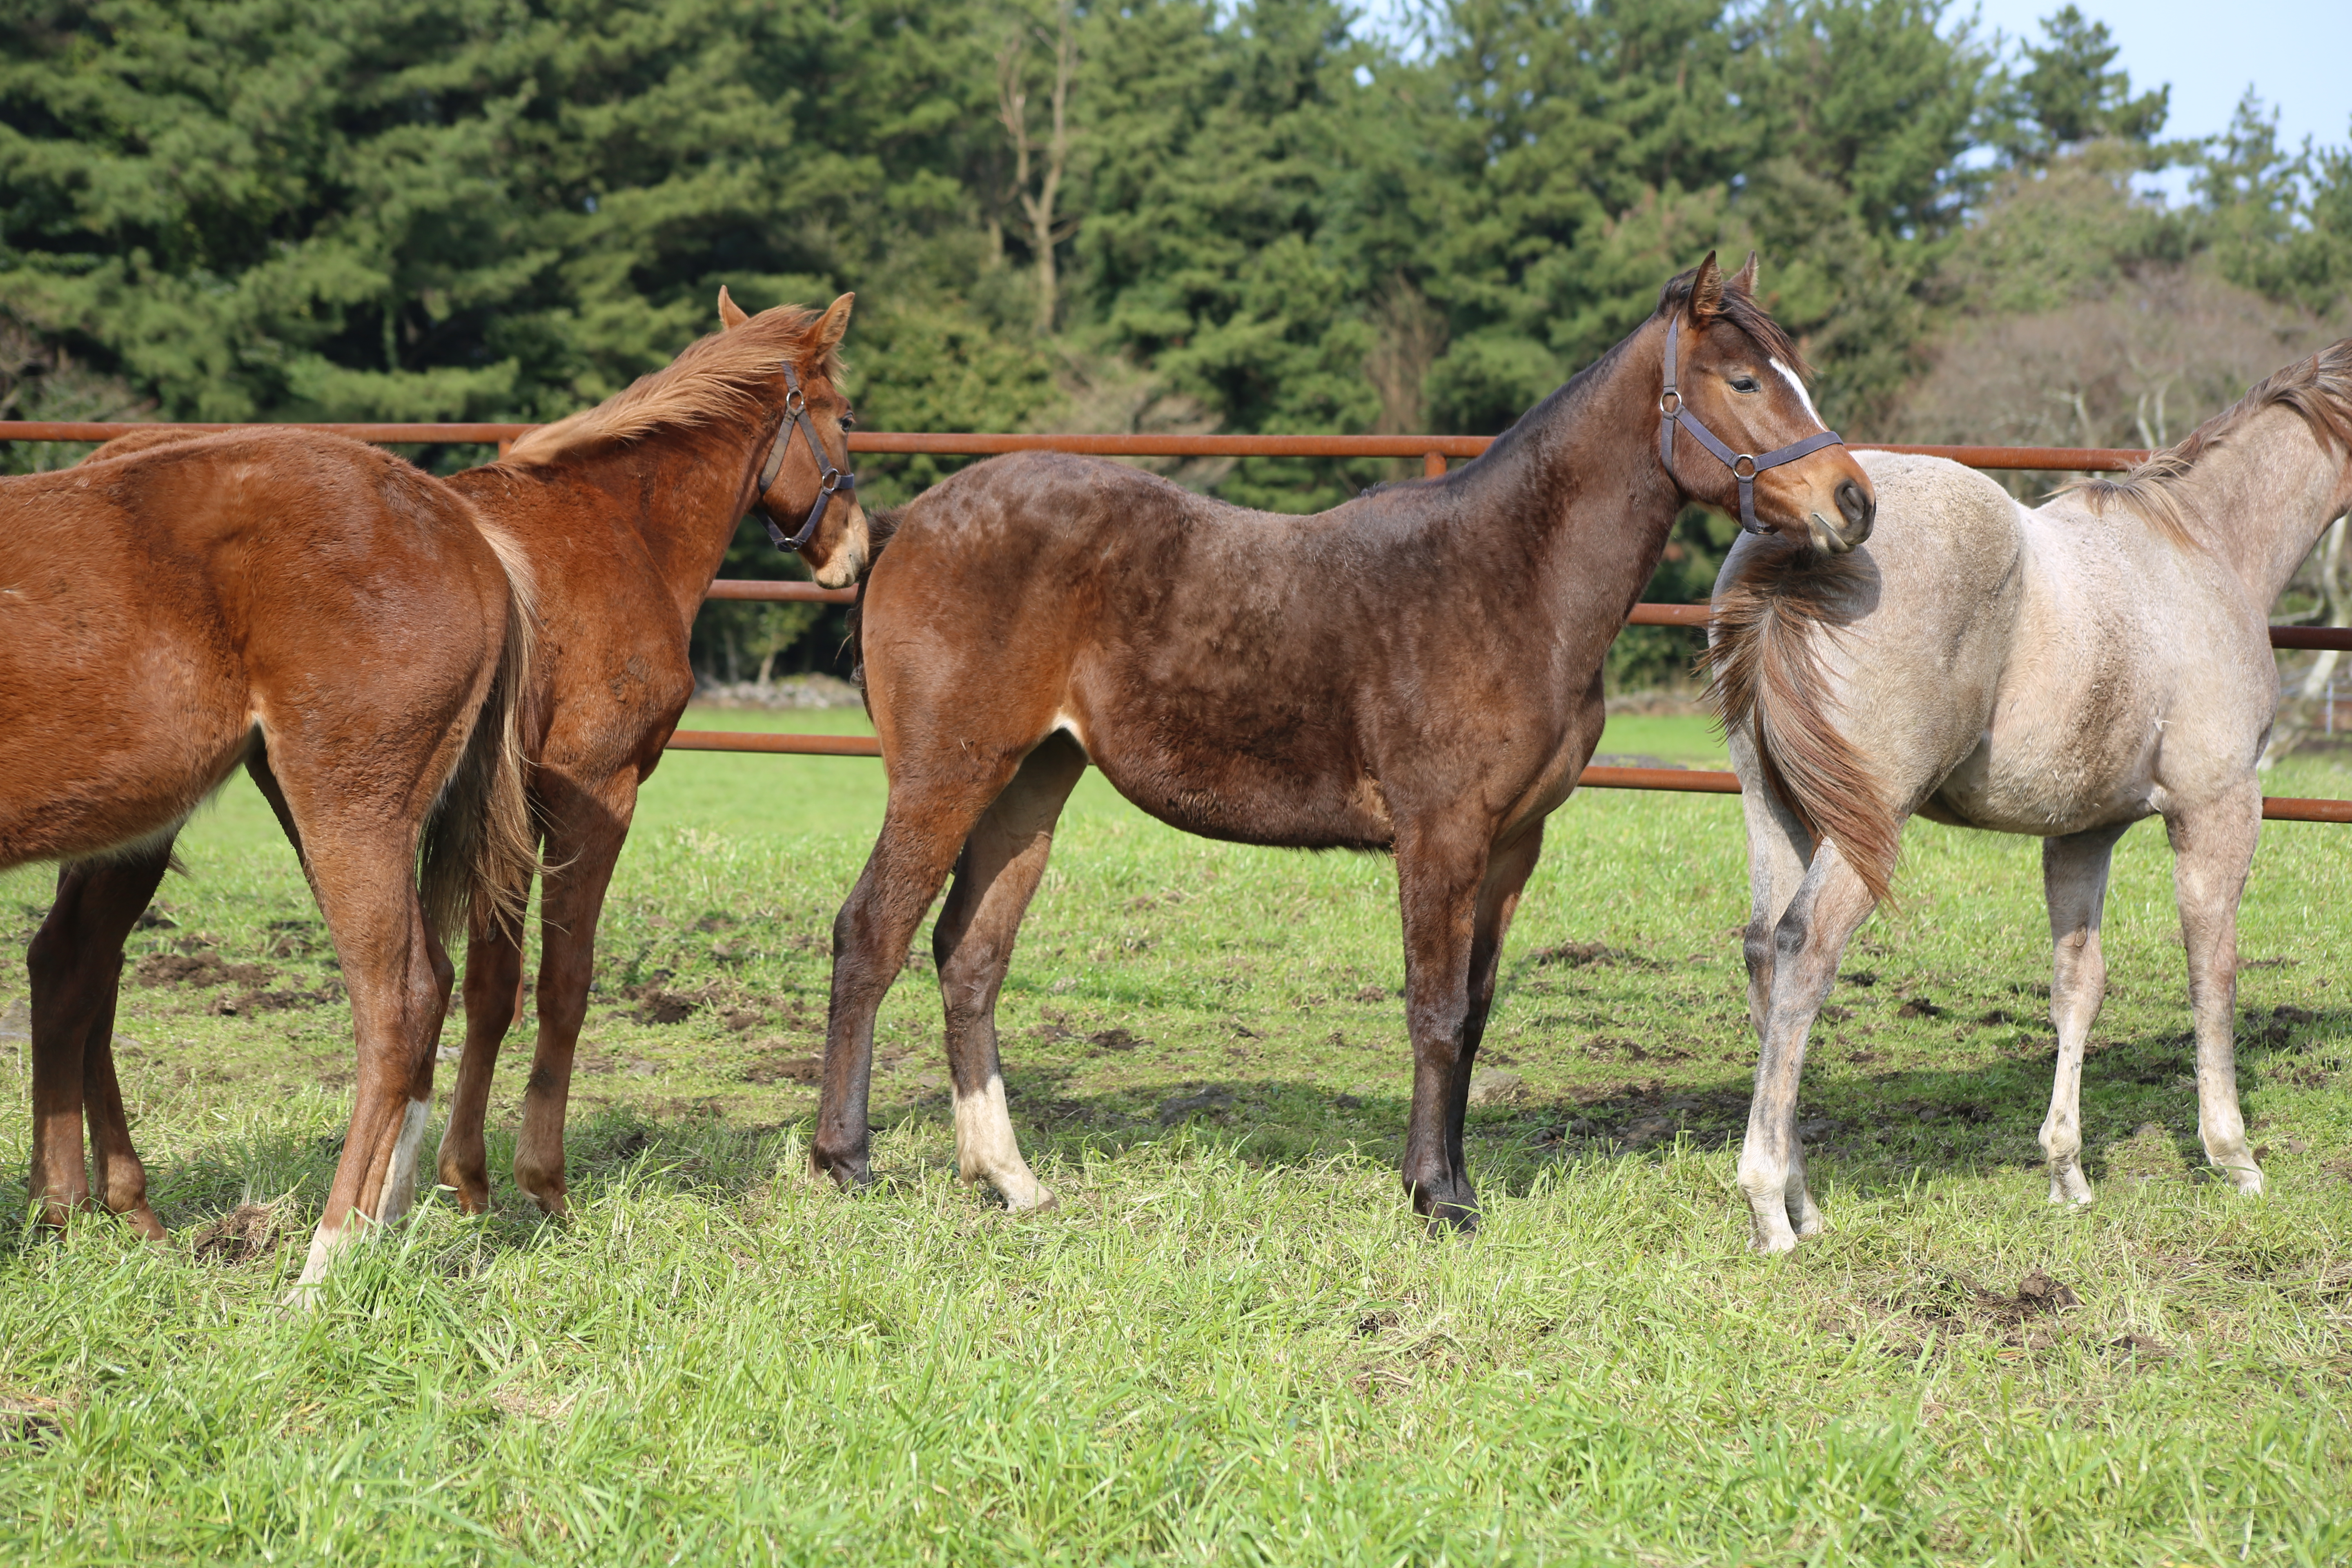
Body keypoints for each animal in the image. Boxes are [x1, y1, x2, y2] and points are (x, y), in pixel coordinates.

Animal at [818, 252, 1882, 1222]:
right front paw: (1435, 1196)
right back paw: (846, 1160)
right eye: (1741, 381)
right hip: (946, 775)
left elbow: (1474, 1011)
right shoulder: (1439, 834)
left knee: (969, 955)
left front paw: (1453, 1180)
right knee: (872, 931)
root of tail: (911, 521)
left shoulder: (1510, 844)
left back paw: (1009, 1177)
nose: (1853, 501)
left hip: (1031, 779)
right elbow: (1435, 1009)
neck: (1509, 580)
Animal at [1712, 343, 2352, 1250]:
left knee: (1765, 948)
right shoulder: (2218, 806)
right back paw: (1769, 1206)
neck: (2205, 545)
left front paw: (2067, 1172)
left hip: (1777, 806)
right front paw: (2234, 1157)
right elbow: (2212, 971)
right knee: (1807, 948)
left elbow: (2077, 986)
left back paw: (1804, 1200)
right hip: (1870, 819)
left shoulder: (2083, 832)